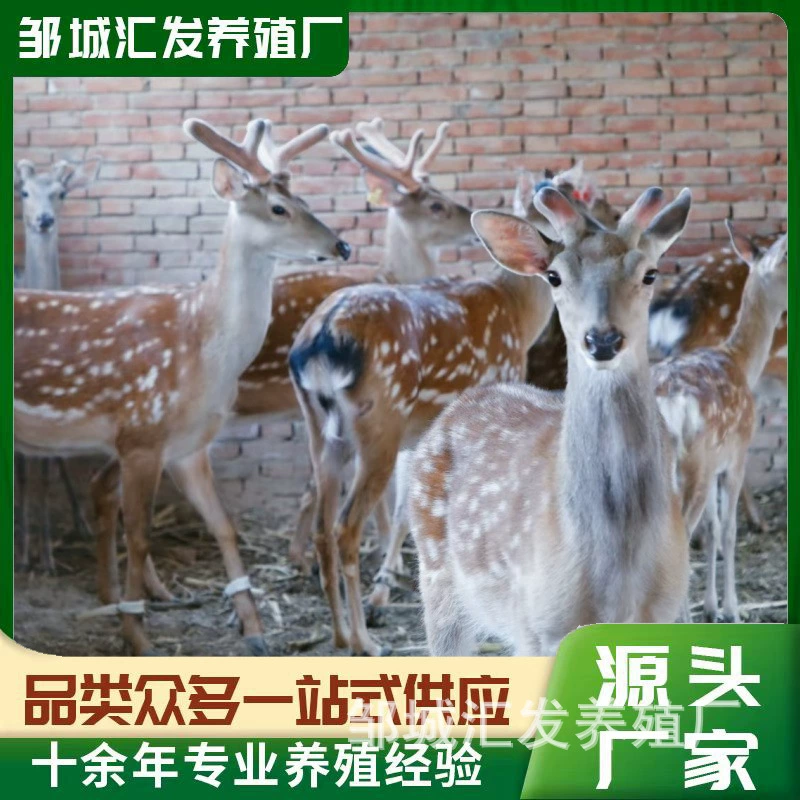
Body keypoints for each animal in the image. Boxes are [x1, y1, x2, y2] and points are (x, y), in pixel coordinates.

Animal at [14, 117, 350, 656]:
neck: (202, 351)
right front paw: (138, 636)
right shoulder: (142, 435)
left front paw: (254, 628)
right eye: (278, 208)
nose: (342, 246)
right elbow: (140, 536)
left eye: (302, 197)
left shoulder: (189, 446)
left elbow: (225, 526)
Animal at [288, 130, 556, 656]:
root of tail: (322, 337)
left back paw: (338, 633)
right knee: (345, 527)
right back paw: (364, 641)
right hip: (380, 419)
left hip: (321, 429)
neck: (518, 316)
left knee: (325, 528)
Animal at [408, 185, 692, 656]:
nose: (602, 340)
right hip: (438, 579)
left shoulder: (665, 613)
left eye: (650, 273)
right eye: (555, 277)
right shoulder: (540, 624)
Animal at [653, 222, 788, 624]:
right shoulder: (736, 454)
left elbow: (713, 529)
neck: (740, 360)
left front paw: (713, 606)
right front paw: (731, 608)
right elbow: (727, 530)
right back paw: (681, 618)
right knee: (680, 534)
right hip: (691, 465)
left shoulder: (715, 464)